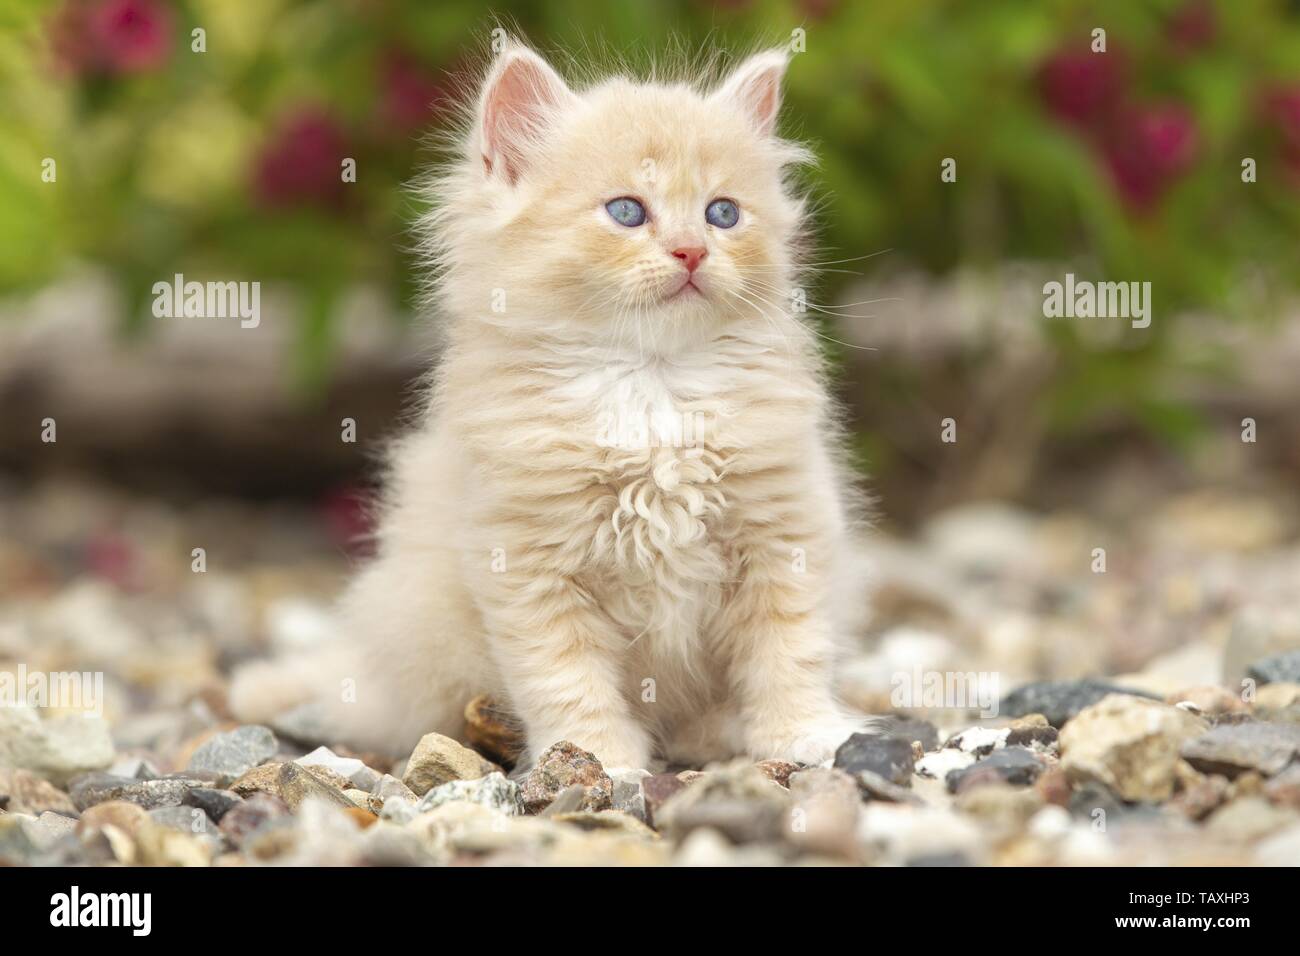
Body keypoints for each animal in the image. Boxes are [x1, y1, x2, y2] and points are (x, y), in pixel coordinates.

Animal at [231, 41, 873, 770]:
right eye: (627, 212)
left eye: (723, 214)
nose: (691, 251)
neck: (651, 386)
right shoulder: (527, 563)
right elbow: (564, 674)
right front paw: (597, 756)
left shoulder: (785, 532)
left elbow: (790, 648)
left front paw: (805, 733)